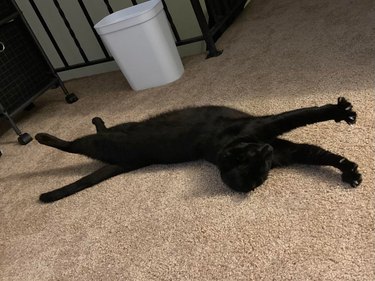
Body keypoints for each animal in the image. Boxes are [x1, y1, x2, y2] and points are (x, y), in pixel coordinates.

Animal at [36, 96, 362, 201]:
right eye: (254, 163)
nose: (265, 152)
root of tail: (133, 160)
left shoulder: (282, 145)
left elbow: (321, 152)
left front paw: (349, 172)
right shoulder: (266, 130)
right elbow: (300, 116)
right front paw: (339, 110)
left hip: (125, 127)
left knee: (104, 128)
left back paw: (97, 119)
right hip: (103, 142)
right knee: (73, 145)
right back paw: (41, 136)